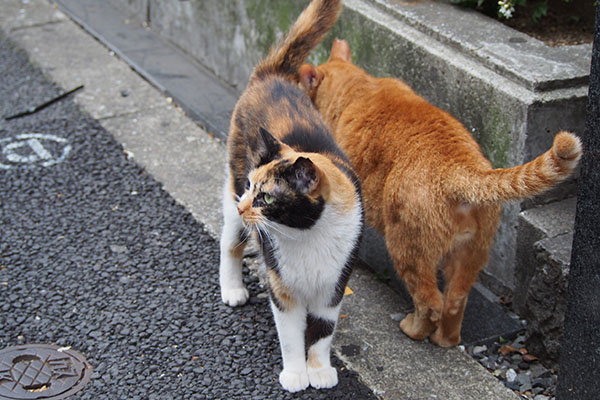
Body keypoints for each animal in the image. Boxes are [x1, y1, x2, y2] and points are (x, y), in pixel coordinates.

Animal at [219, 0, 360, 394]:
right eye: (252, 187)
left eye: (266, 198)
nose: (245, 203)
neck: (307, 237)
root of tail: (275, 75)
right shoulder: (282, 289)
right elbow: (292, 335)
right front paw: (296, 373)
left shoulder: (333, 287)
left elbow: (323, 332)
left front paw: (320, 370)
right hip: (231, 193)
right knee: (229, 243)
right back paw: (232, 288)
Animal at [298, 39, 580, 348]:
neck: (358, 86)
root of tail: (459, 166)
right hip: (470, 253)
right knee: (455, 300)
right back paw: (446, 340)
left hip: (408, 248)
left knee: (431, 302)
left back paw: (413, 330)